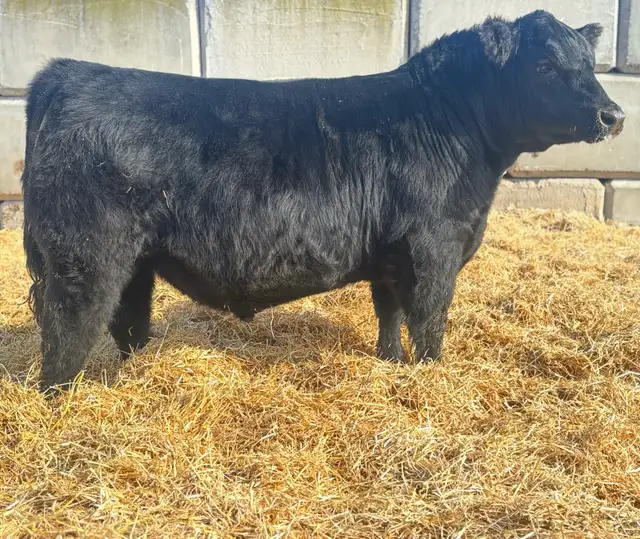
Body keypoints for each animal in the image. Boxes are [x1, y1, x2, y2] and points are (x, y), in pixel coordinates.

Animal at [22, 10, 624, 394]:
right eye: (544, 65)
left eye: (590, 64)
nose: (614, 114)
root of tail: (67, 72)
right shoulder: (434, 248)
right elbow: (429, 321)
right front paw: (431, 378)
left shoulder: (392, 254)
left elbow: (390, 314)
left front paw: (389, 365)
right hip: (84, 257)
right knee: (67, 332)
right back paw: (64, 403)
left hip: (134, 261)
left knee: (127, 324)